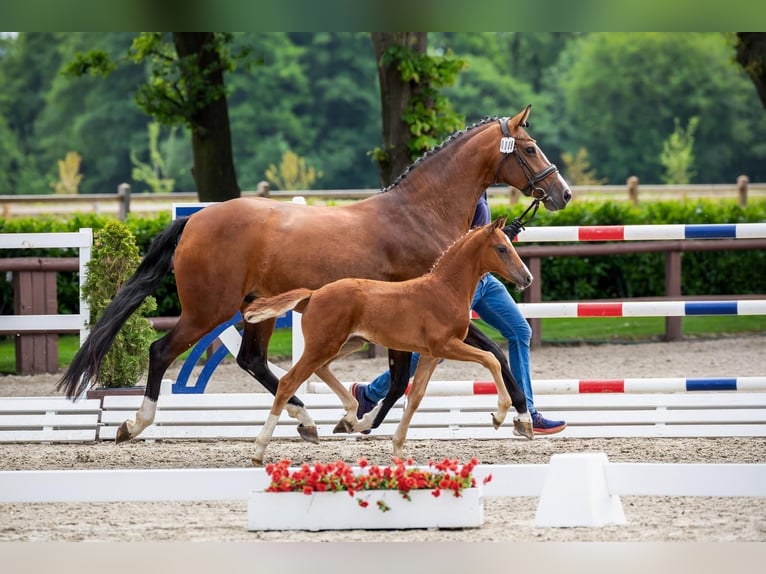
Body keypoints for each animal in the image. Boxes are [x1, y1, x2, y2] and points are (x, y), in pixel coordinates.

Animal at [241, 217, 534, 464]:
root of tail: (313, 294)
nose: (527, 278)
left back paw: (350, 416)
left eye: (510, 245)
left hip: (348, 343)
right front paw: (499, 415)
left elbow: (415, 397)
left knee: (320, 369)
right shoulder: (445, 346)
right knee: (288, 382)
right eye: (501, 249)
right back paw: (260, 449)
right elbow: (491, 359)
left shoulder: (431, 354)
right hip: (323, 344)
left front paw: (397, 447)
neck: (444, 290)